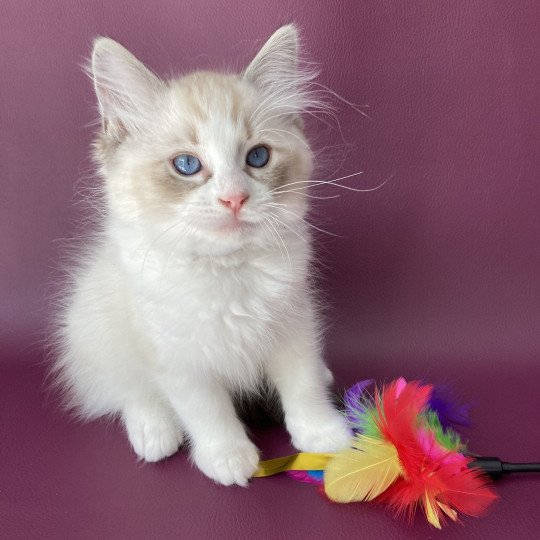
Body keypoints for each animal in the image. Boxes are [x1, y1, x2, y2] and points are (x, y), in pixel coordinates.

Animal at [54, 25, 350, 488]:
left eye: (258, 157)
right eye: (187, 165)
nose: (234, 198)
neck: (227, 269)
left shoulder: (294, 324)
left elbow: (301, 385)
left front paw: (323, 434)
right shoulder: (176, 354)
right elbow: (207, 410)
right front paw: (227, 457)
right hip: (97, 331)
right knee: (127, 391)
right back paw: (154, 432)